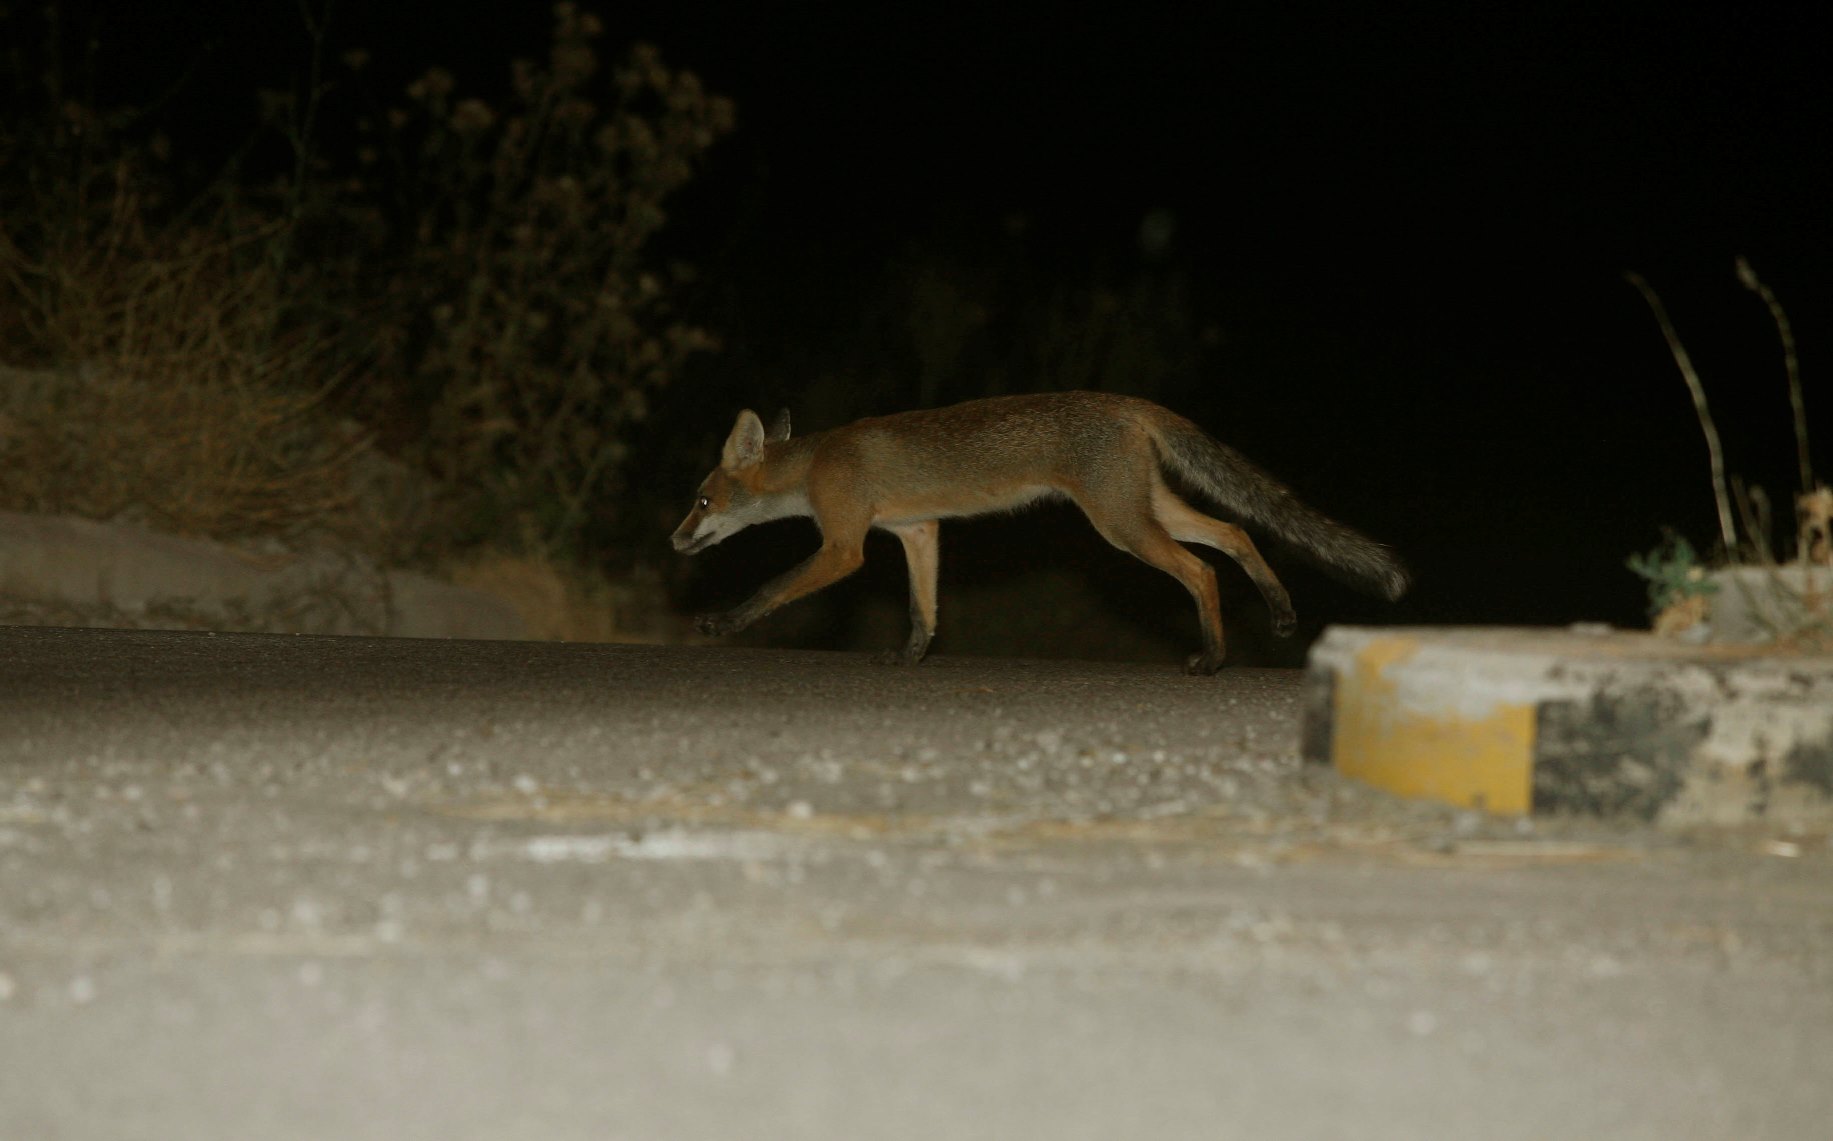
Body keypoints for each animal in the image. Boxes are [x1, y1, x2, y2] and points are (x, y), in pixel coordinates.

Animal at [674, 392, 1400, 678]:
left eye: (701, 499)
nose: (676, 540)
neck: (817, 463)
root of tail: (1125, 400)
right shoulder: (916, 530)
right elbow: (922, 610)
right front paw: (909, 658)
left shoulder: (843, 547)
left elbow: (772, 587)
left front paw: (721, 623)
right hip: (1147, 510)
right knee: (1236, 531)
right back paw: (1278, 611)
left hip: (1120, 526)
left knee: (1201, 570)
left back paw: (1213, 658)